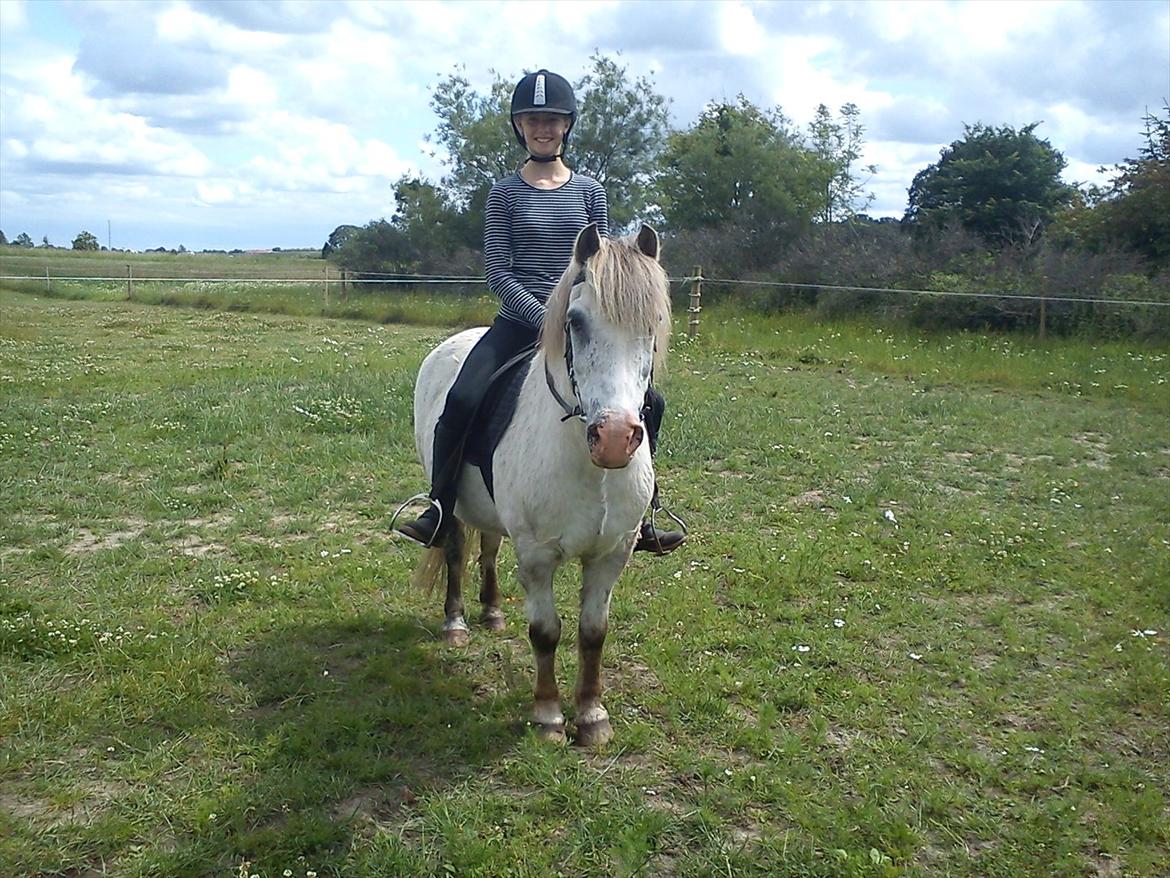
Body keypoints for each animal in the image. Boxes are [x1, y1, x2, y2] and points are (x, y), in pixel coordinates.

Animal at [409, 222, 671, 746]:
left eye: (652, 324)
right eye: (575, 321)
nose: (615, 438)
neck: (590, 470)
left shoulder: (611, 556)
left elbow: (593, 632)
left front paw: (592, 717)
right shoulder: (536, 555)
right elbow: (546, 631)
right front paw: (549, 716)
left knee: (488, 547)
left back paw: (492, 613)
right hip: (454, 506)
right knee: (455, 550)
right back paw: (456, 624)